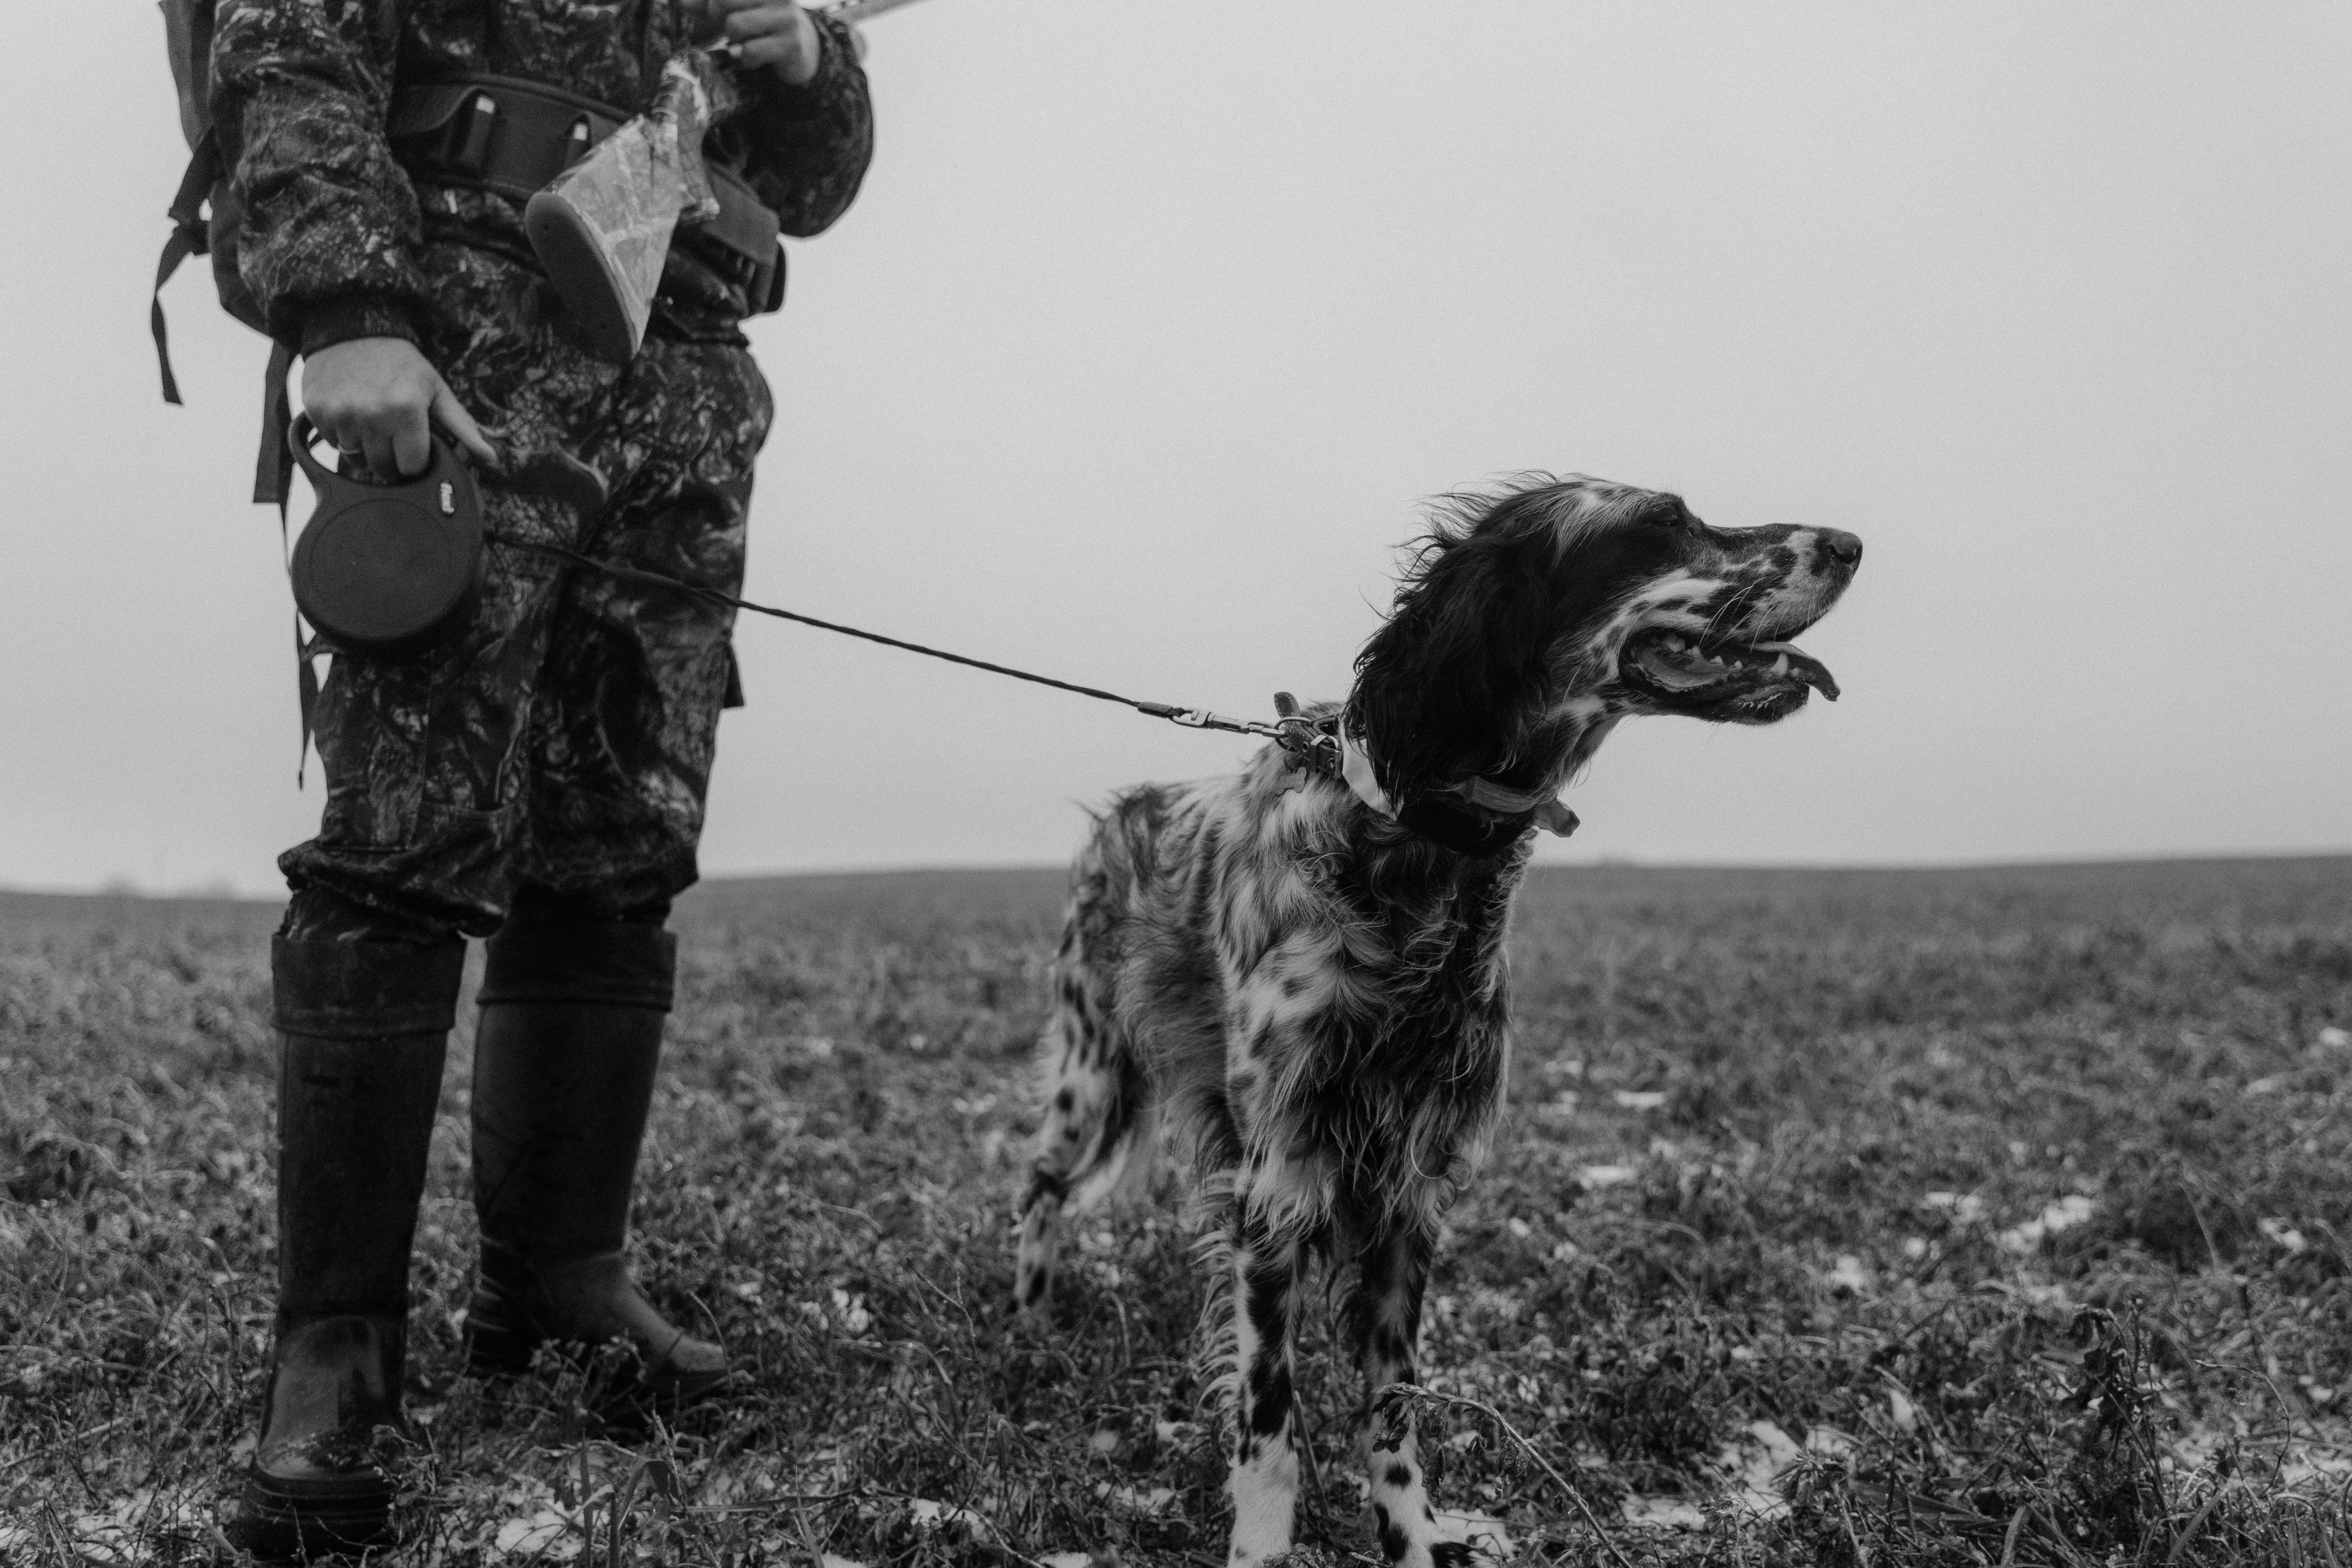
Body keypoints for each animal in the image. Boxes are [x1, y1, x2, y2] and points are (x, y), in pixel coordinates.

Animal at [1021, 472, 1863, 1561]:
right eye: (1662, 522)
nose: (1848, 544)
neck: (1411, 857)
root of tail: (1125, 808)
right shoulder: (1280, 1180)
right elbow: (1268, 1421)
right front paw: (1262, 1544)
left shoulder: (1409, 1186)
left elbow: (1393, 1411)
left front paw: (1413, 1536)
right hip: (1092, 1071)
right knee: (1038, 1188)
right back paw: (1028, 1323)